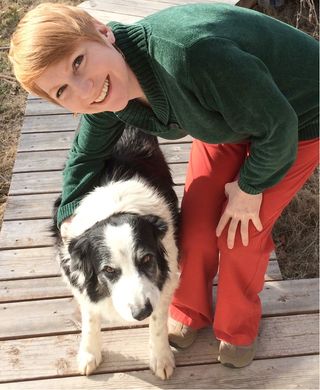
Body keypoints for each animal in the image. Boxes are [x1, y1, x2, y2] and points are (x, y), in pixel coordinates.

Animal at [51, 126, 179, 380]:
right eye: (109, 270)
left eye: (147, 258)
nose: (141, 313)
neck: (115, 208)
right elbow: (90, 315)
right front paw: (89, 354)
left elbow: (158, 319)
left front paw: (161, 358)